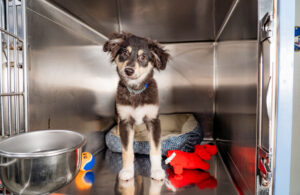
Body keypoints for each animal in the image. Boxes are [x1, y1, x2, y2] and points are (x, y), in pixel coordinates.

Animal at [103, 32, 169, 181]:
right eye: (124, 53)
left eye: (143, 57)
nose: (129, 70)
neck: (135, 91)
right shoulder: (126, 122)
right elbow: (127, 150)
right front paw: (127, 170)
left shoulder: (153, 120)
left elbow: (155, 148)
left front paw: (157, 170)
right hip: (117, 114)